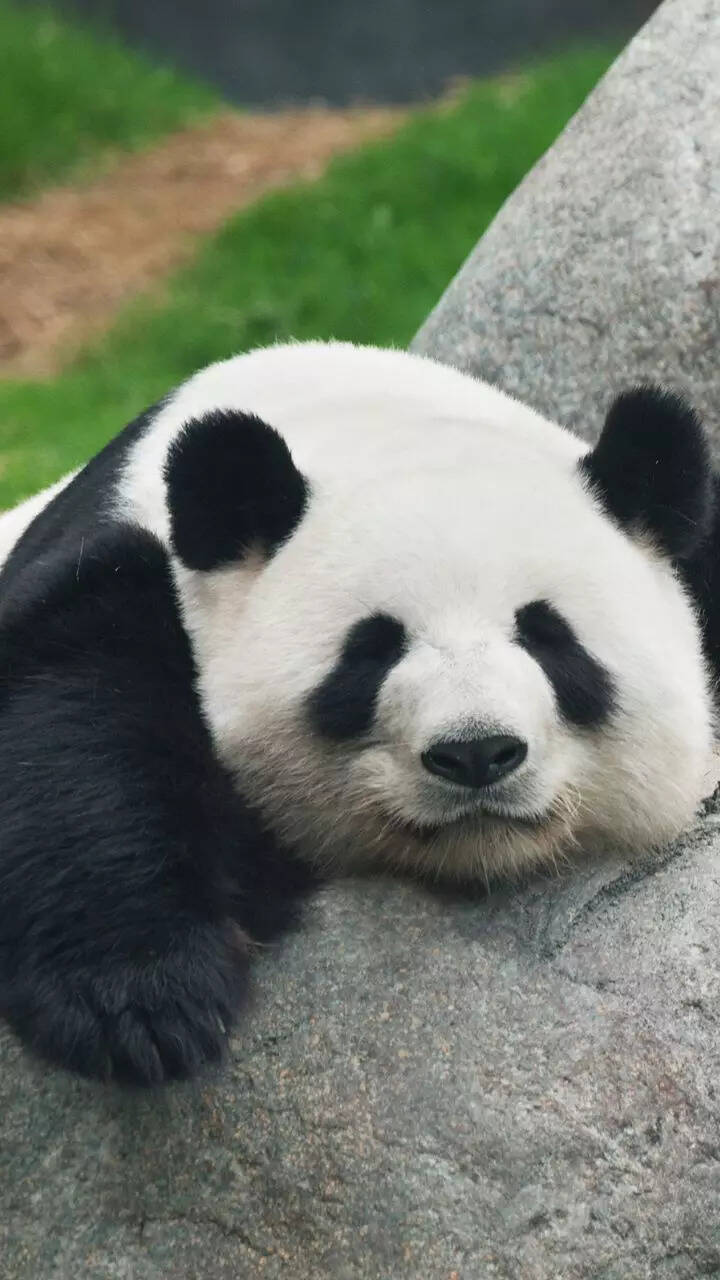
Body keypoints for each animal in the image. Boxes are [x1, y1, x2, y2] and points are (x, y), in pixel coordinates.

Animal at [0, 341, 718, 1087]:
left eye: (548, 636)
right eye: (372, 649)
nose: (475, 753)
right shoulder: (122, 569)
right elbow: (72, 725)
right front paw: (142, 1002)